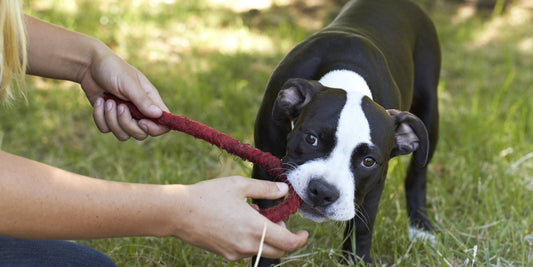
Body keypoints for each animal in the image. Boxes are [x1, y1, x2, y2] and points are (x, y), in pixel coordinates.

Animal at [251, 0, 438, 264]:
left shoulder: (372, 188)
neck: (347, 78)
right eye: (311, 139)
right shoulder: (266, 170)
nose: (322, 192)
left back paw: (420, 227)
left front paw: (356, 261)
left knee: (418, 174)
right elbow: (266, 228)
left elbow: (361, 230)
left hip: (430, 114)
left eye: (368, 161)